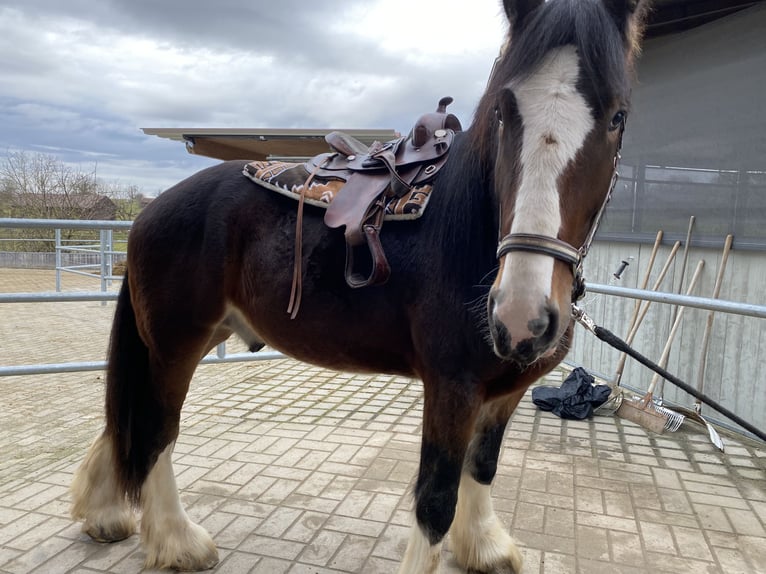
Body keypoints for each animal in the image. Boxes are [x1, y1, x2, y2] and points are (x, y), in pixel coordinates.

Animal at [70, 0, 648, 572]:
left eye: (618, 117)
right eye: (505, 113)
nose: (520, 317)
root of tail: (151, 211)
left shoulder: (504, 391)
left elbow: (481, 468)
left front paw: (484, 545)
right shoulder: (452, 388)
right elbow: (436, 500)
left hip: (194, 337)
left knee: (126, 425)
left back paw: (105, 514)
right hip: (175, 345)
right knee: (154, 432)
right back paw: (178, 542)